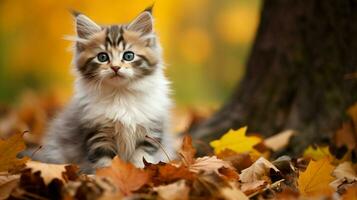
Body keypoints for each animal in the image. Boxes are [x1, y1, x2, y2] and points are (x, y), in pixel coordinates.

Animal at [26, 8, 174, 173]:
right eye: (102, 57)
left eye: (128, 55)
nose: (115, 67)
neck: (120, 94)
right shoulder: (98, 133)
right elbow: (105, 162)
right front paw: (106, 177)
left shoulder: (150, 132)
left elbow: (141, 158)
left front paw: (140, 173)